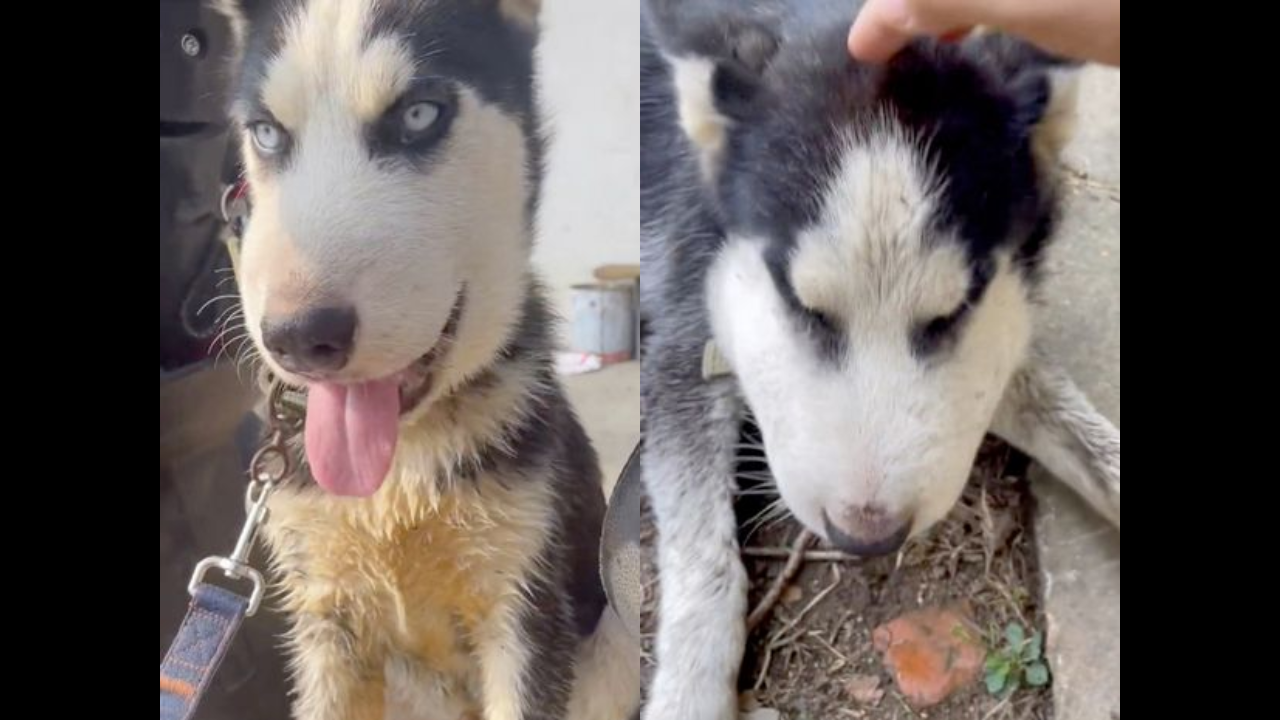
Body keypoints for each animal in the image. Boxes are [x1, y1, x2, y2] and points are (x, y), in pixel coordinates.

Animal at [216, 1, 645, 717]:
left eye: (418, 115)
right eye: (268, 134)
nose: (299, 338)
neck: (397, 470)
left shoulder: (525, 613)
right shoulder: (325, 621)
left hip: (610, 632)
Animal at [640, 2, 1121, 712]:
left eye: (954, 310)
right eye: (802, 305)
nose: (866, 538)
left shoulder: (990, 342)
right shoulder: (682, 318)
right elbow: (702, 556)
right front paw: (687, 695)